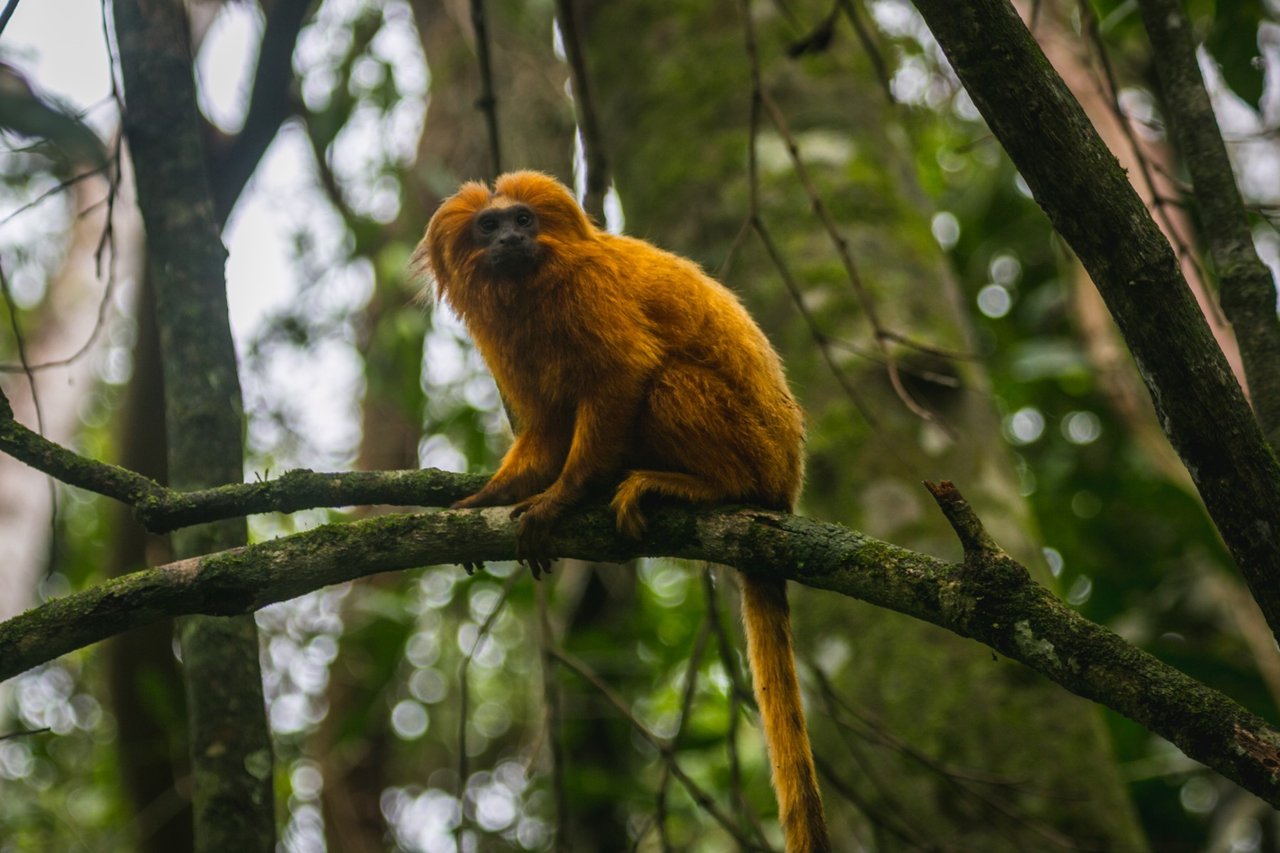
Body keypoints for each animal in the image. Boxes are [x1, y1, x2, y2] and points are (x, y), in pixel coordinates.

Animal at [417, 172, 829, 850]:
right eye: (488, 227)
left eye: (524, 221)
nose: (508, 239)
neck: (532, 288)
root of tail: (784, 483)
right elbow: (546, 429)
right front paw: (488, 498)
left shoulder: (591, 293)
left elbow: (623, 375)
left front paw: (560, 499)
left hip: (752, 446)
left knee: (662, 378)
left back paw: (701, 487)